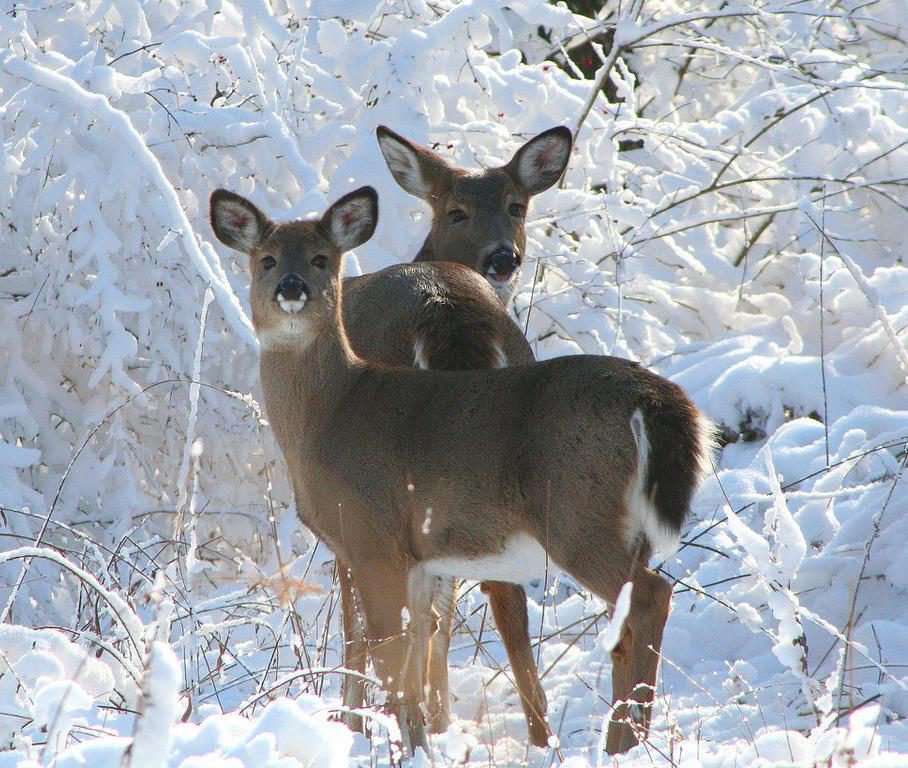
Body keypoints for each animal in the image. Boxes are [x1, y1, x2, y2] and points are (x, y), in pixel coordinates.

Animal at [211, 188, 716, 756]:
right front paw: (417, 743)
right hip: (624, 526)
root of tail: (653, 397)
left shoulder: (371, 538)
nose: (291, 287)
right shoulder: (416, 556)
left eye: (322, 259)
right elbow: (413, 653)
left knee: (651, 596)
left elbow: (385, 651)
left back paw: (622, 743)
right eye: (267, 259)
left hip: (577, 516)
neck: (329, 414)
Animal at [336, 124, 572, 744]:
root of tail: (446, 310)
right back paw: (538, 736)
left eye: (516, 206)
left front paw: (351, 721)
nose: (504, 256)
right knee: (498, 591)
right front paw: (438, 717)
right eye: (457, 211)